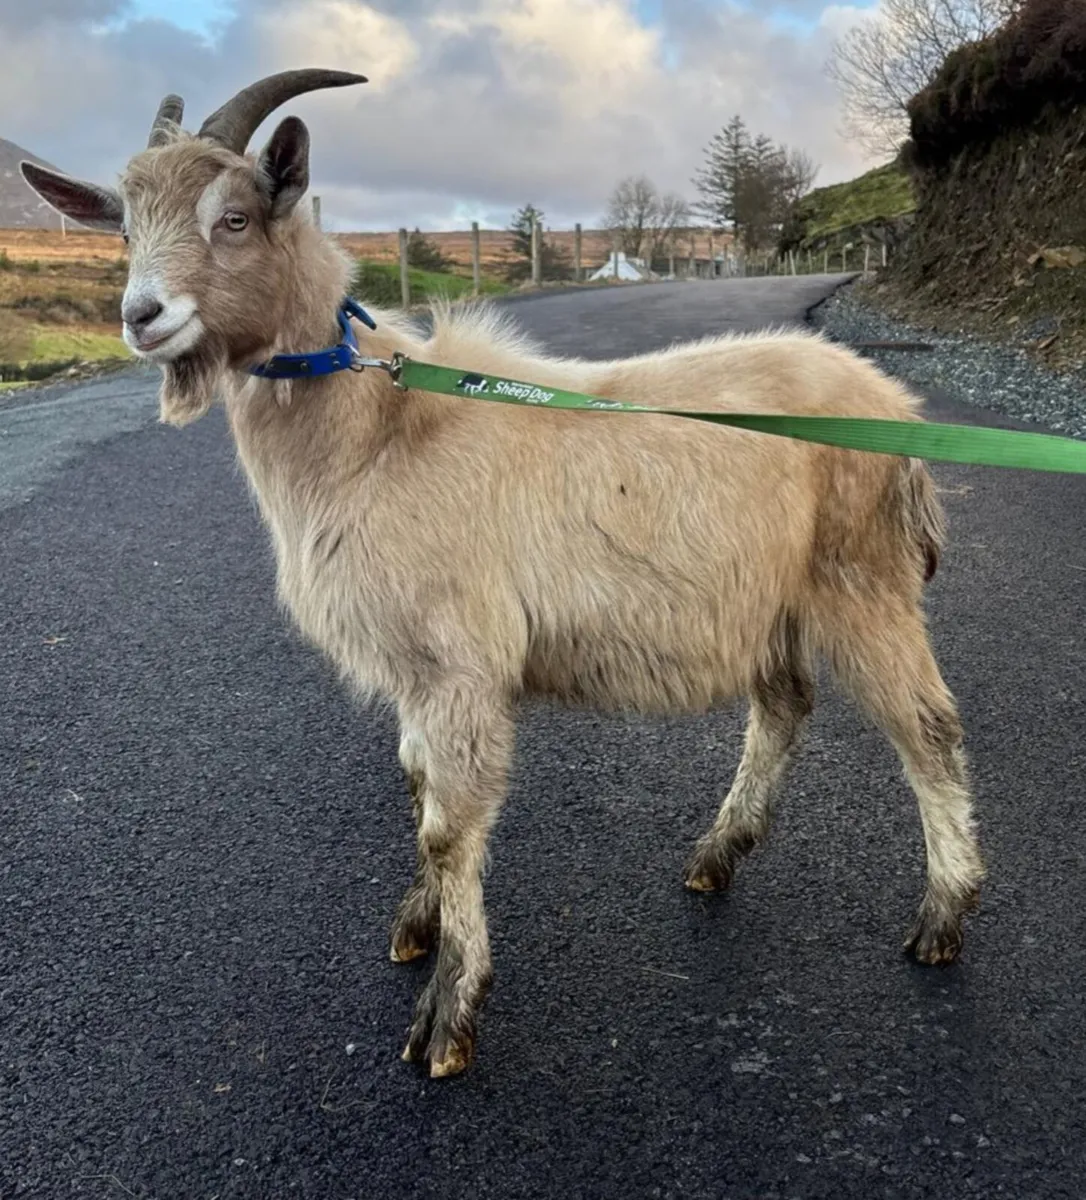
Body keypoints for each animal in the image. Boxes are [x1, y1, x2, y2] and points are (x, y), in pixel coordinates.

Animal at [21, 69, 985, 1079]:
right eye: (123, 229)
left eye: (235, 217)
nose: (141, 317)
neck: (378, 434)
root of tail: (895, 409)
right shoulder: (414, 669)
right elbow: (419, 791)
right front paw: (418, 927)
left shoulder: (458, 664)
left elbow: (450, 824)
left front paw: (449, 1015)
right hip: (770, 598)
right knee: (785, 707)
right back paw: (719, 854)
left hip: (862, 580)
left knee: (927, 730)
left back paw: (942, 915)